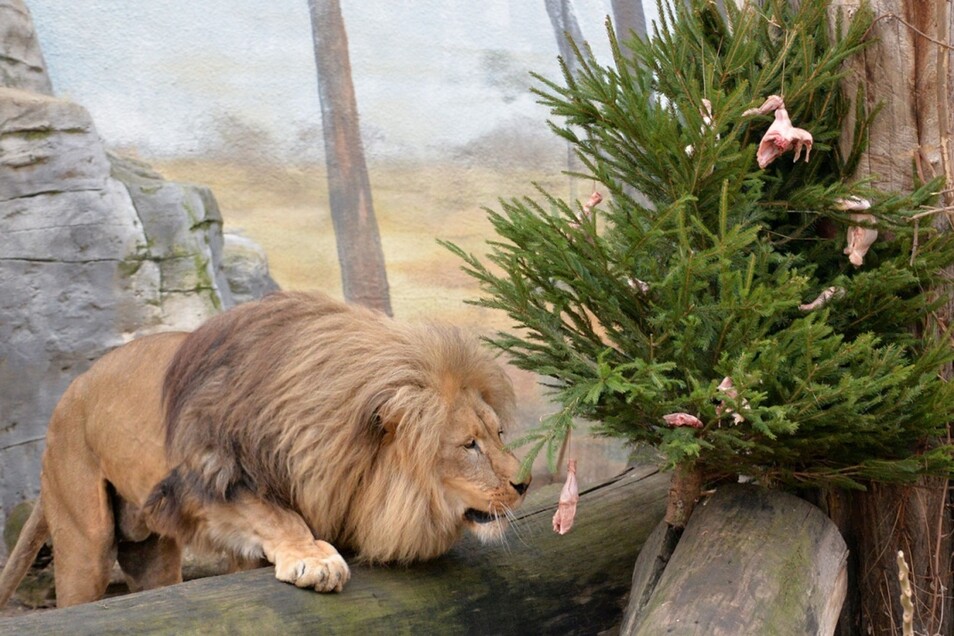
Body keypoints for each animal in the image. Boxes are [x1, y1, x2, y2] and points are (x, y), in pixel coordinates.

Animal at [0, 290, 528, 608]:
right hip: (85, 541)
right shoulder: (209, 479)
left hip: (151, 557)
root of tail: (71, 389)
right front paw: (315, 559)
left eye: (498, 434)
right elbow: (278, 515)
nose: (522, 484)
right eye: (469, 445)